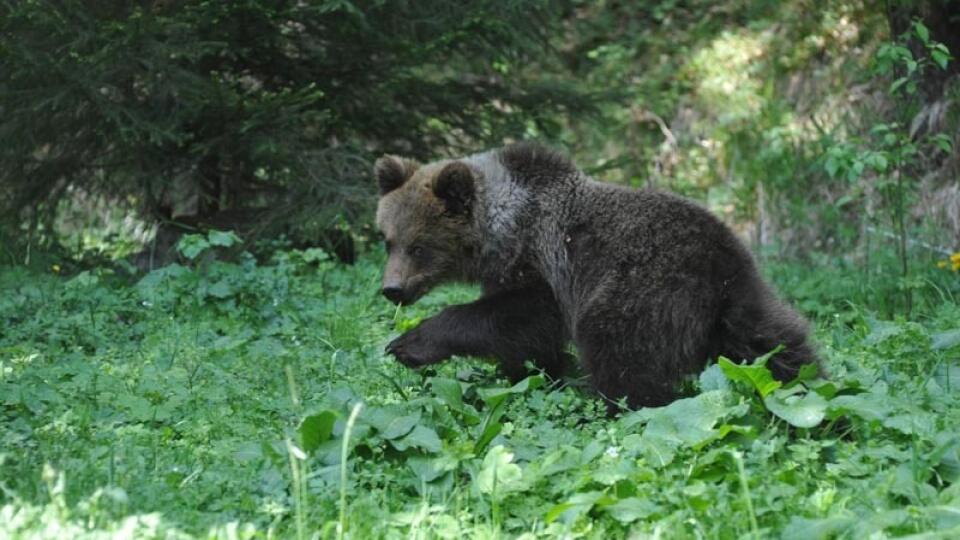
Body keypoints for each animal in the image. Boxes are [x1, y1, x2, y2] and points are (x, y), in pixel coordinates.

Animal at [374, 142, 816, 410]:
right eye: (388, 240)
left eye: (419, 246)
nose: (392, 289)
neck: (500, 230)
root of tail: (716, 261)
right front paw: (531, 377)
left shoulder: (544, 267)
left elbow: (518, 319)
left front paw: (409, 344)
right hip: (741, 297)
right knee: (777, 345)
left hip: (643, 289)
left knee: (619, 352)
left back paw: (622, 407)